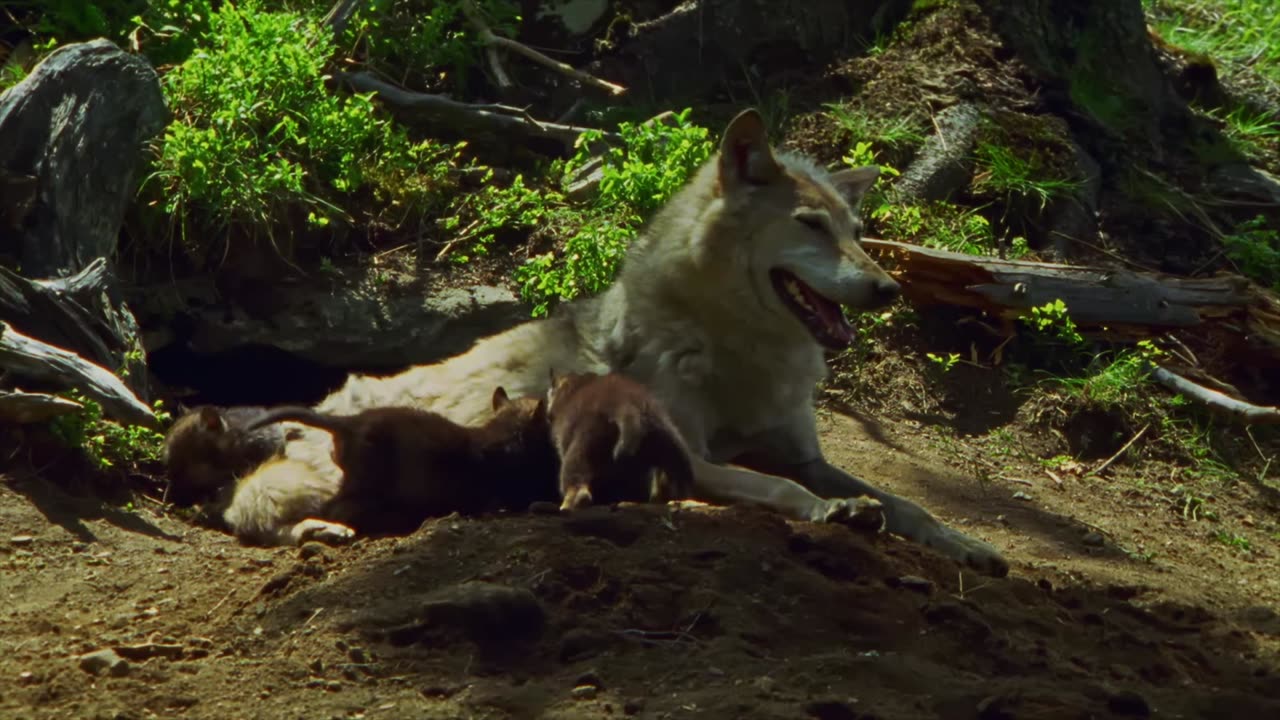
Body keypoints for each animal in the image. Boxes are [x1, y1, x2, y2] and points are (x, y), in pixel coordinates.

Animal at [221, 108, 1008, 577]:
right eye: (811, 226)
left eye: (857, 232)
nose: (889, 290)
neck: (741, 351)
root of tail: (325, 399)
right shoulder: (699, 453)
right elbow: (778, 487)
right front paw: (831, 513)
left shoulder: (804, 452)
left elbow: (908, 504)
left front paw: (968, 545)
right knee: (245, 511)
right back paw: (317, 533)